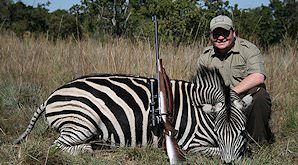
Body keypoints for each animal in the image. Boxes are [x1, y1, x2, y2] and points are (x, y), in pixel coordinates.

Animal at [13, 66, 251, 163]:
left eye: (241, 132)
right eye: (219, 133)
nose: (229, 164)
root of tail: (51, 95)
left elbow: (242, 149)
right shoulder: (189, 143)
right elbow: (215, 151)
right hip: (83, 122)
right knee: (56, 146)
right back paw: (88, 149)